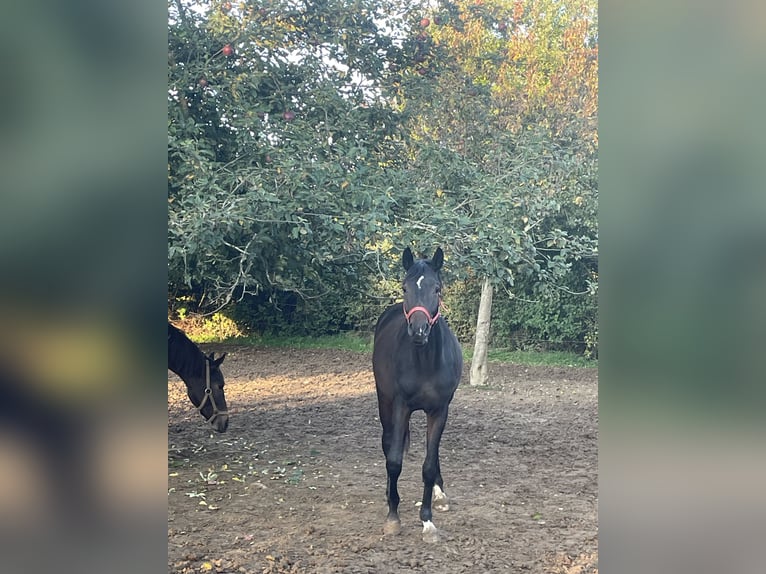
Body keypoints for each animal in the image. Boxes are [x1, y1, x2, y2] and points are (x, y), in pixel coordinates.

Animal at [372, 247, 463, 543]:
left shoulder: (440, 410)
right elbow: (394, 460)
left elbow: (429, 464)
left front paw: (428, 520)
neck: (425, 361)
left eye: (437, 288)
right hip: (385, 403)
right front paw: (393, 516)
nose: (419, 330)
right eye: (405, 287)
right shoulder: (400, 406)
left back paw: (439, 494)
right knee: (388, 443)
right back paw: (389, 495)